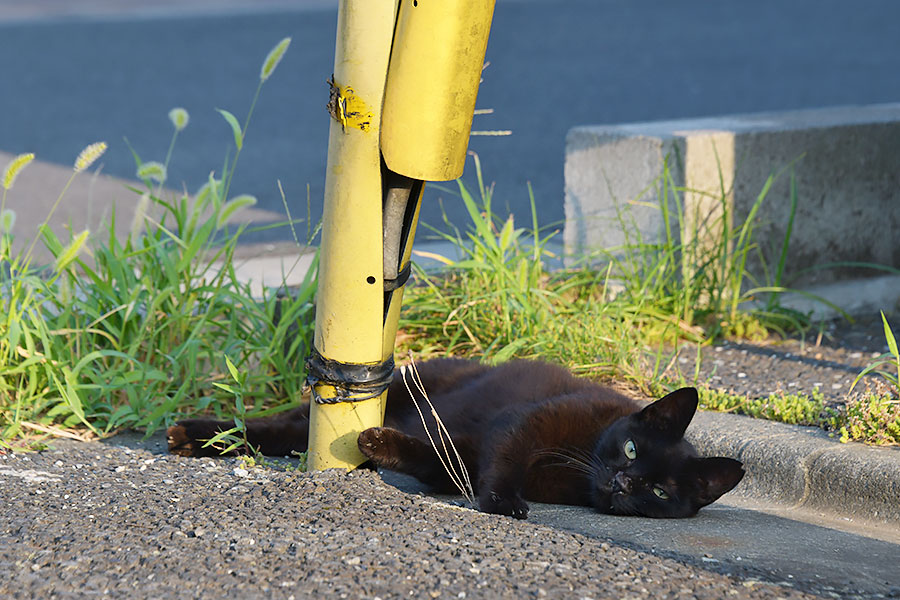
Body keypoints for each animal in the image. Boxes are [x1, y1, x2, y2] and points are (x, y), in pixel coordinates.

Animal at [169, 358, 744, 516]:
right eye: (629, 449)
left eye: (659, 491)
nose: (623, 483)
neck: (578, 471)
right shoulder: (527, 423)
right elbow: (505, 459)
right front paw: (505, 502)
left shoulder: (465, 455)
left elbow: (440, 463)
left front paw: (381, 446)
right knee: (277, 427)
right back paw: (193, 435)